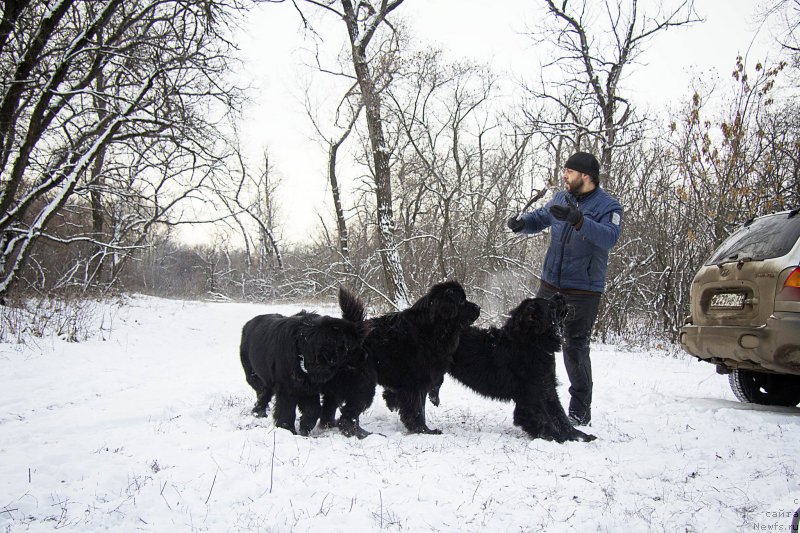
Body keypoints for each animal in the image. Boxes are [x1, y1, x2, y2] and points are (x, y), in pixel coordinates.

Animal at [239, 288, 370, 434]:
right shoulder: (287, 388)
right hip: (253, 373)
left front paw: (304, 429)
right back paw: (259, 412)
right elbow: (286, 411)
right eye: (351, 346)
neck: (303, 354)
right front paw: (287, 429)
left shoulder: (309, 387)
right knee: (262, 392)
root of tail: (248, 323)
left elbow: (312, 409)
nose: (366, 355)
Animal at [320, 278, 482, 436]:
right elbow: (418, 409)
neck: (433, 328)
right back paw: (361, 434)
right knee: (348, 414)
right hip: (364, 382)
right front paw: (423, 430)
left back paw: (332, 426)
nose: (479, 308)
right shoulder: (416, 383)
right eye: (462, 301)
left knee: (331, 406)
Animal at [446, 296, 596, 440]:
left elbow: (560, 416)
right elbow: (544, 419)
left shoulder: (547, 387)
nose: (560, 295)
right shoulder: (532, 394)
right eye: (551, 306)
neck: (532, 343)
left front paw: (580, 436)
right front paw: (557, 437)